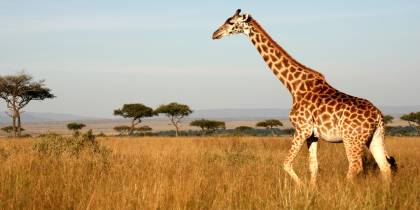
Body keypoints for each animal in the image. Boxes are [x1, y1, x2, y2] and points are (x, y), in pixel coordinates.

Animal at [213, 9, 398, 186]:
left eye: (231, 22)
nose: (215, 34)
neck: (293, 86)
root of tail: (378, 116)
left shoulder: (302, 129)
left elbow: (286, 163)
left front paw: (301, 187)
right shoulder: (312, 135)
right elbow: (313, 166)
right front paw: (311, 189)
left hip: (351, 138)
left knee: (356, 166)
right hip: (375, 137)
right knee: (385, 166)